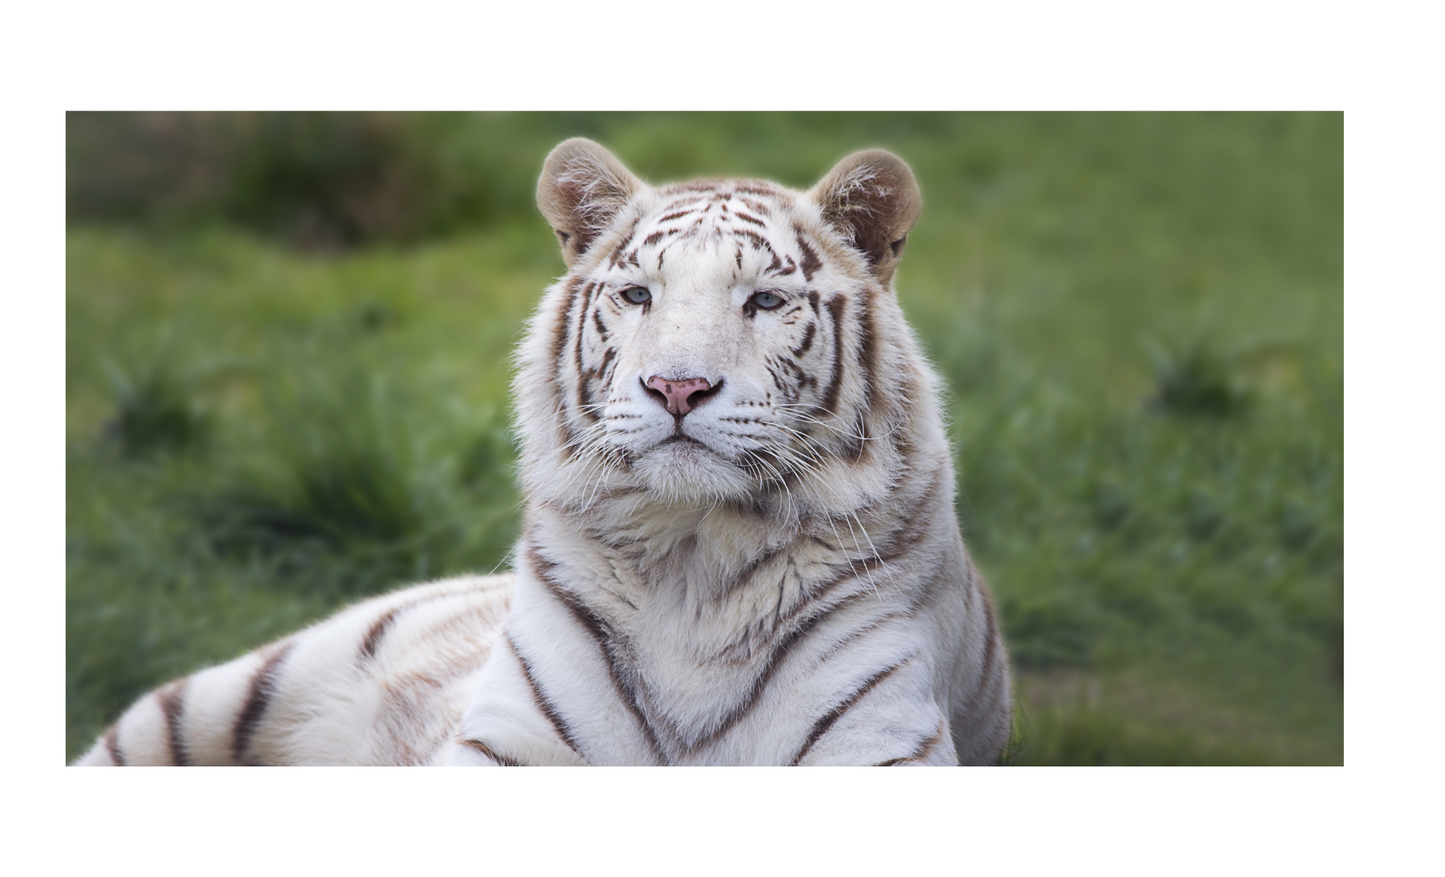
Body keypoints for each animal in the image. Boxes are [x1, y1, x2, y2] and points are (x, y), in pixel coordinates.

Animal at [75, 138, 1012, 766]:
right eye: (637, 295)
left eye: (765, 301)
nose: (677, 387)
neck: (694, 558)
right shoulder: (511, 742)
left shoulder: (880, 741)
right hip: (220, 694)